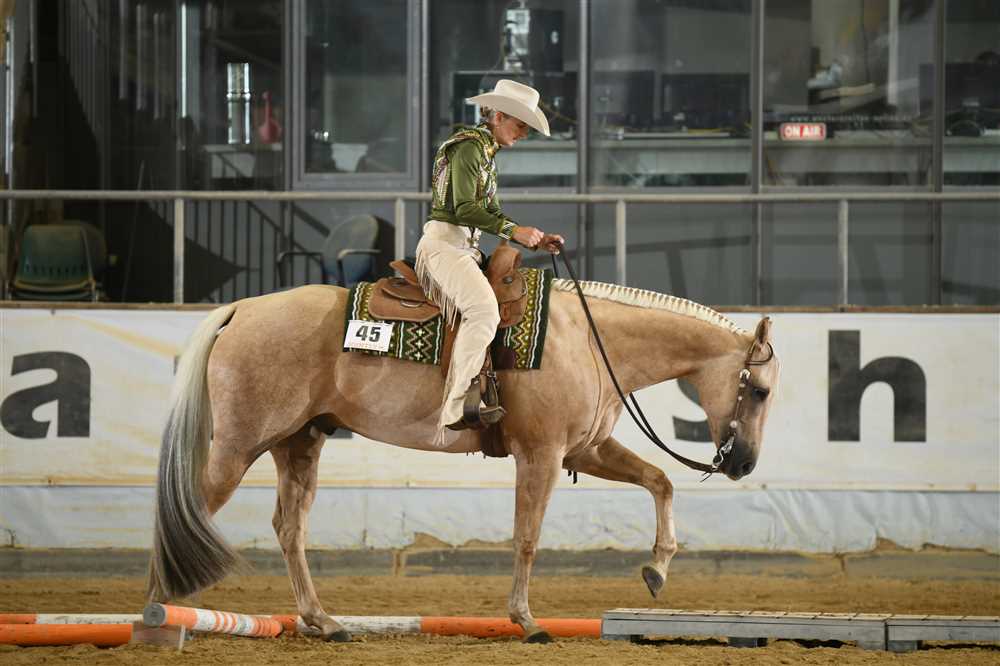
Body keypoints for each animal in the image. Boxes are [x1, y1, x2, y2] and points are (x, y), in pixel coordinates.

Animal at [146, 278, 780, 644]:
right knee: (188, 510)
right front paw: (526, 621)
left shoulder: (585, 449)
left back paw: (322, 622)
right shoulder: (542, 455)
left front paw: (656, 569)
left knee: (288, 528)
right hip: (238, 447)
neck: (587, 340)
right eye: (760, 390)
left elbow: (660, 481)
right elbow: (527, 536)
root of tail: (241, 309)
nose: (745, 464)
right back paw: (157, 611)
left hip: (299, 443)